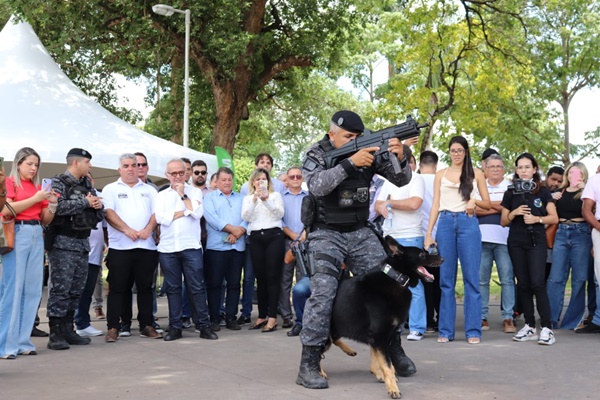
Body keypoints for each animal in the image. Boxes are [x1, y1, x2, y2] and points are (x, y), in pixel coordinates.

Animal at [324, 236, 446, 398]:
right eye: (421, 255)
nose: (443, 258)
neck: (396, 278)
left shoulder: (380, 338)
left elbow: (383, 363)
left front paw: (382, 375)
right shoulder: (379, 336)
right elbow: (387, 366)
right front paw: (392, 388)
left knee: (334, 340)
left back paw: (349, 350)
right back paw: (318, 373)